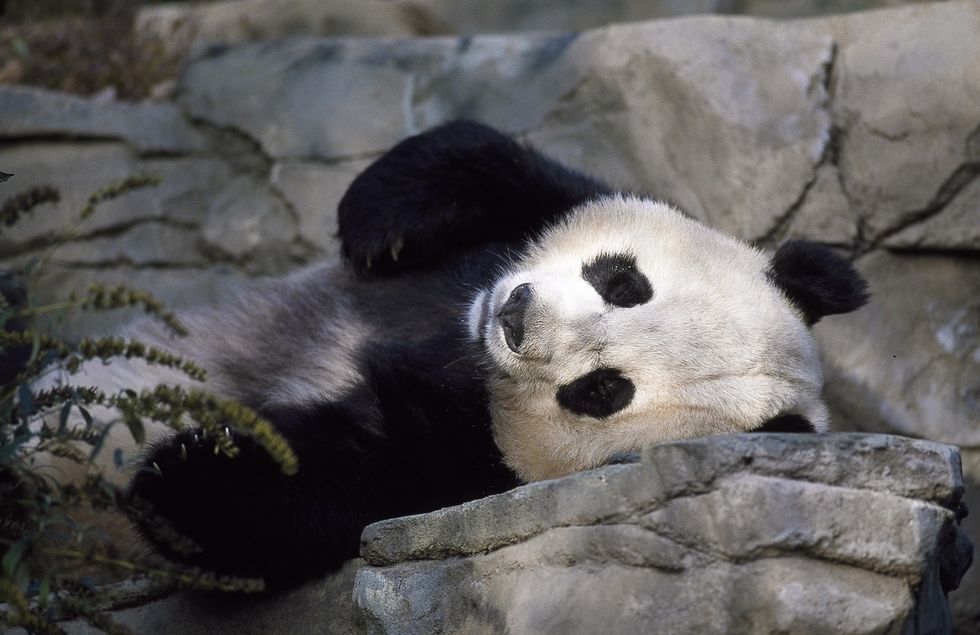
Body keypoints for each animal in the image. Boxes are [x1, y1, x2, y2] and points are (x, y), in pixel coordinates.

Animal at [65, 120, 868, 588]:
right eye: (624, 283)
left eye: (604, 390)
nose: (515, 316)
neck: (459, 343)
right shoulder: (533, 212)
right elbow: (495, 164)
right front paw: (378, 219)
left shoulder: (462, 478)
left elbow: (344, 483)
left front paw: (179, 483)